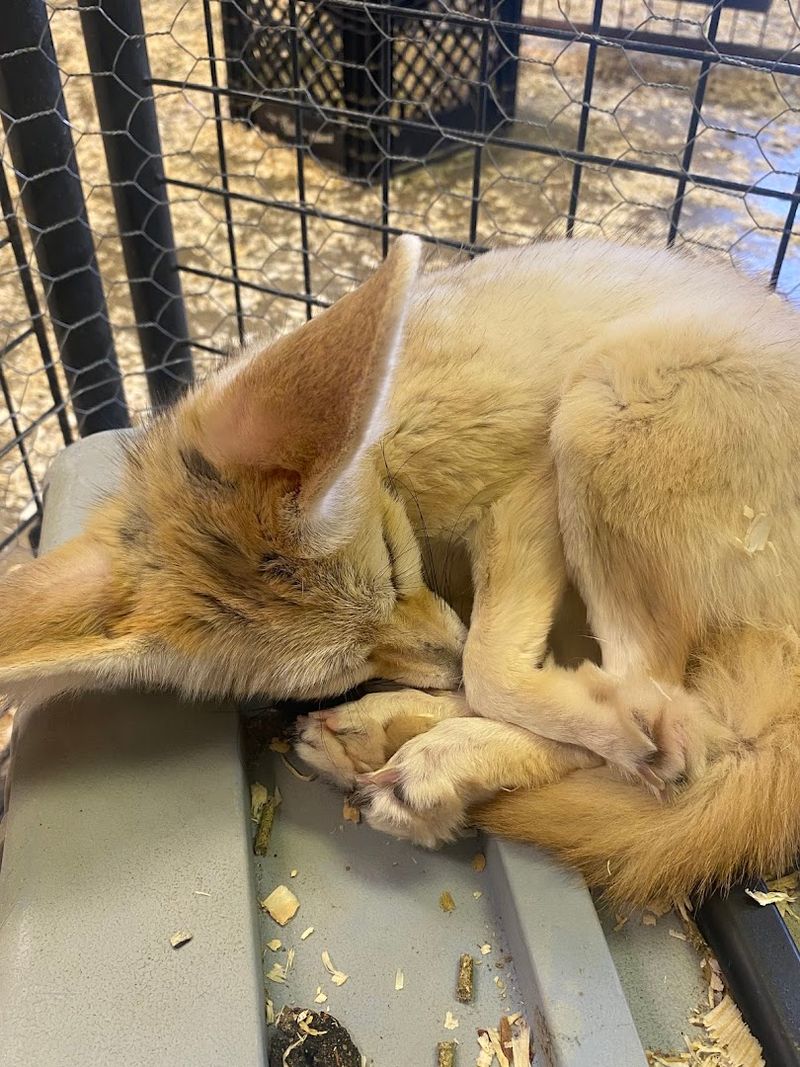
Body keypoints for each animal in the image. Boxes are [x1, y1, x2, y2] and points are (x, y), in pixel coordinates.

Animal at [2, 234, 800, 906]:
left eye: (391, 559)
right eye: (341, 670)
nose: (438, 664)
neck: (389, 436)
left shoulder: (527, 485)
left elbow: (490, 666)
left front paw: (583, 718)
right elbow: (487, 669)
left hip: (609, 391)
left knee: (685, 715)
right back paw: (395, 741)